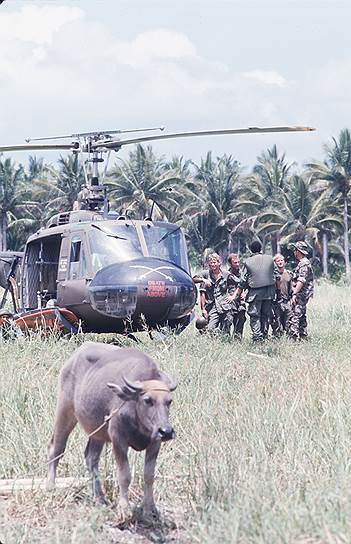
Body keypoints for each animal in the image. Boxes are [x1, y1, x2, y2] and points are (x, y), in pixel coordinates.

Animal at [47, 342, 176, 516]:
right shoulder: (118, 439)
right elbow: (124, 475)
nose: (166, 431)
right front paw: (124, 508)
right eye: (148, 400)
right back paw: (50, 486)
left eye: (169, 401)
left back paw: (99, 498)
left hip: (97, 432)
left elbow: (149, 475)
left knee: (91, 458)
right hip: (65, 410)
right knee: (57, 448)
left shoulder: (155, 442)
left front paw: (150, 508)